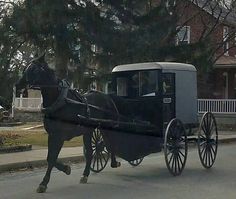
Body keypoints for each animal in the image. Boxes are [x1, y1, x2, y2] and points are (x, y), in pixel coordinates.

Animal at [15, 54, 121, 193]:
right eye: (25, 68)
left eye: (35, 70)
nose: (18, 85)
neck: (59, 102)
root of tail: (108, 97)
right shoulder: (52, 134)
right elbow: (50, 158)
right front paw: (66, 169)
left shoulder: (59, 136)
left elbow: (52, 158)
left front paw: (44, 182)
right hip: (88, 131)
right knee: (91, 151)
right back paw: (85, 174)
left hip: (106, 126)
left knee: (110, 143)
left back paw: (114, 163)